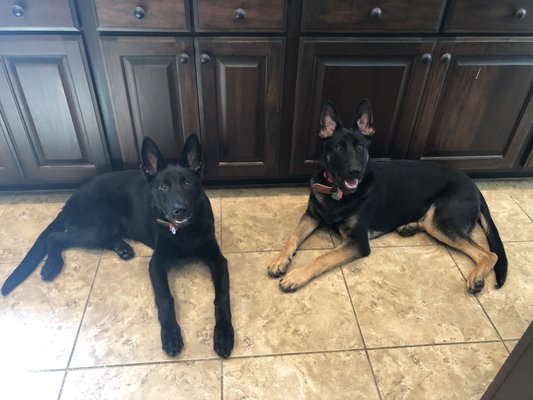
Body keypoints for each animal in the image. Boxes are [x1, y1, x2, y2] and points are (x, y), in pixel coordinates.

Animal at [1, 136, 233, 358]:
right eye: (163, 187)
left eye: (188, 184)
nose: (180, 210)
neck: (183, 232)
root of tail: (71, 199)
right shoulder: (156, 263)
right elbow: (165, 298)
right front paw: (170, 335)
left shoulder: (217, 259)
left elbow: (222, 297)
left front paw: (223, 334)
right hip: (99, 226)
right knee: (55, 237)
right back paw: (52, 265)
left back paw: (122, 248)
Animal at [268, 99, 504, 294]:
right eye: (338, 148)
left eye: (360, 147)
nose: (355, 172)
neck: (337, 193)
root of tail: (473, 184)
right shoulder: (311, 216)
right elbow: (292, 237)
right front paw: (280, 260)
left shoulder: (357, 243)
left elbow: (322, 257)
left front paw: (296, 276)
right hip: (436, 222)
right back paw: (409, 226)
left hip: (442, 221)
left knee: (489, 254)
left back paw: (476, 277)